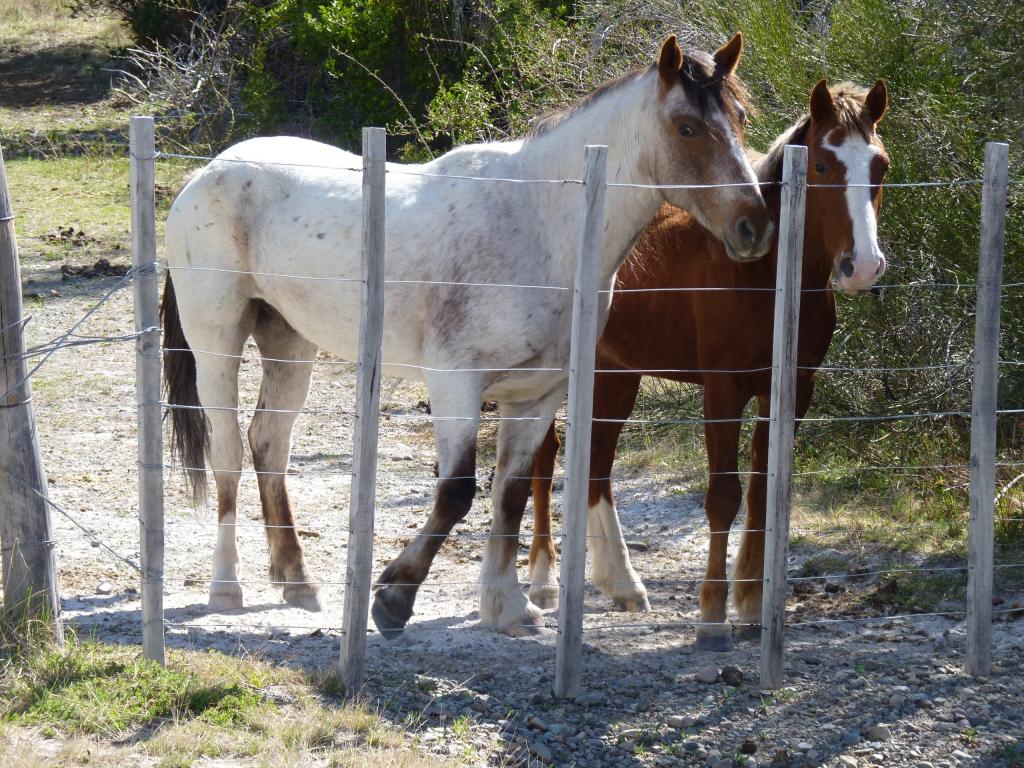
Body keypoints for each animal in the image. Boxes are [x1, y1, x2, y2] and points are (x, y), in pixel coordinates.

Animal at [159, 34, 770, 638]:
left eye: (740, 118)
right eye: (687, 127)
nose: (754, 226)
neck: (539, 223)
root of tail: (206, 174)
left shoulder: (537, 395)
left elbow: (511, 495)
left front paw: (507, 606)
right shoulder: (457, 383)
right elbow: (457, 492)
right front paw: (394, 597)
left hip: (289, 342)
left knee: (270, 445)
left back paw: (297, 580)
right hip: (218, 341)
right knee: (228, 452)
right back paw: (226, 587)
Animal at [528, 79, 888, 651]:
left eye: (881, 166)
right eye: (822, 165)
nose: (864, 267)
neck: (765, 275)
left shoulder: (791, 390)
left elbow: (763, 491)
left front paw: (753, 603)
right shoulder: (722, 391)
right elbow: (723, 495)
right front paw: (713, 613)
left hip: (616, 373)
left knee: (596, 463)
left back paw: (622, 582)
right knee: (546, 457)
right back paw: (543, 583)